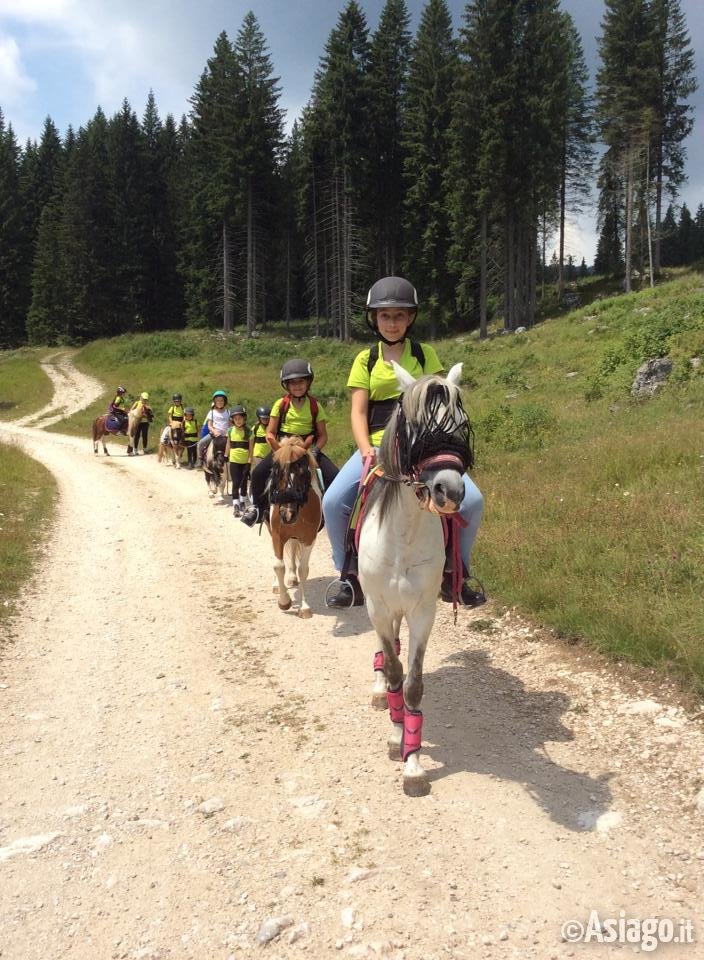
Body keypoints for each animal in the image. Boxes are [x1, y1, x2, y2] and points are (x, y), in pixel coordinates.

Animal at [268, 438, 324, 620]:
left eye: (303, 473)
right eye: (276, 473)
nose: (287, 514)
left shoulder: (308, 539)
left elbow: (303, 570)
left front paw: (304, 607)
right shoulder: (277, 536)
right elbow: (278, 566)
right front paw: (284, 601)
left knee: (292, 550)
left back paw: (292, 578)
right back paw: (277, 586)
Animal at [358, 360, 472, 796]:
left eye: (461, 425)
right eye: (418, 428)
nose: (449, 491)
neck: (403, 534)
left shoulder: (423, 612)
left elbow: (412, 684)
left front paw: (413, 764)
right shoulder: (377, 607)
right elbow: (393, 672)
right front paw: (395, 740)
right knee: (383, 650)